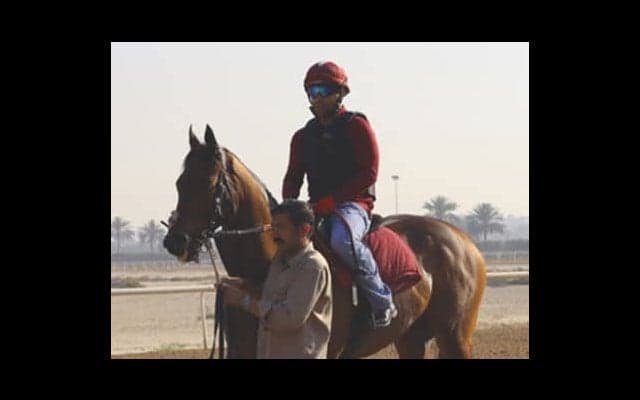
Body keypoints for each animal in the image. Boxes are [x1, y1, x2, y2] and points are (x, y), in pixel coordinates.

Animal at [163, 125, 487, 358]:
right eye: (179, 183)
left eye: (207, 183)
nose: (175, 241)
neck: (267, 267)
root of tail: (465, 240)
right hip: (410, 337)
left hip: (456, 338)